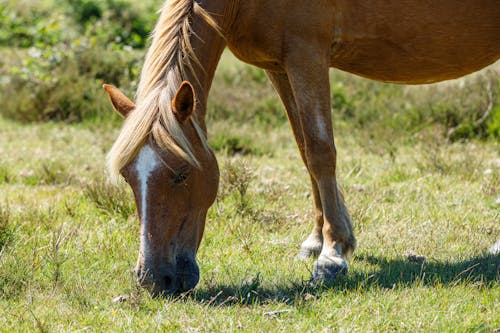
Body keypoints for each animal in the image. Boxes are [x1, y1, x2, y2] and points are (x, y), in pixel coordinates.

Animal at [102, 0, 500, 296]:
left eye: (182, 173)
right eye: (128, 177)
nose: (154, 280)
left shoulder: (307, 55)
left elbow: (321, 151)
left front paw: (333, 255)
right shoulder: (279, 66)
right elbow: (304, 150)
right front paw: (318, 239)